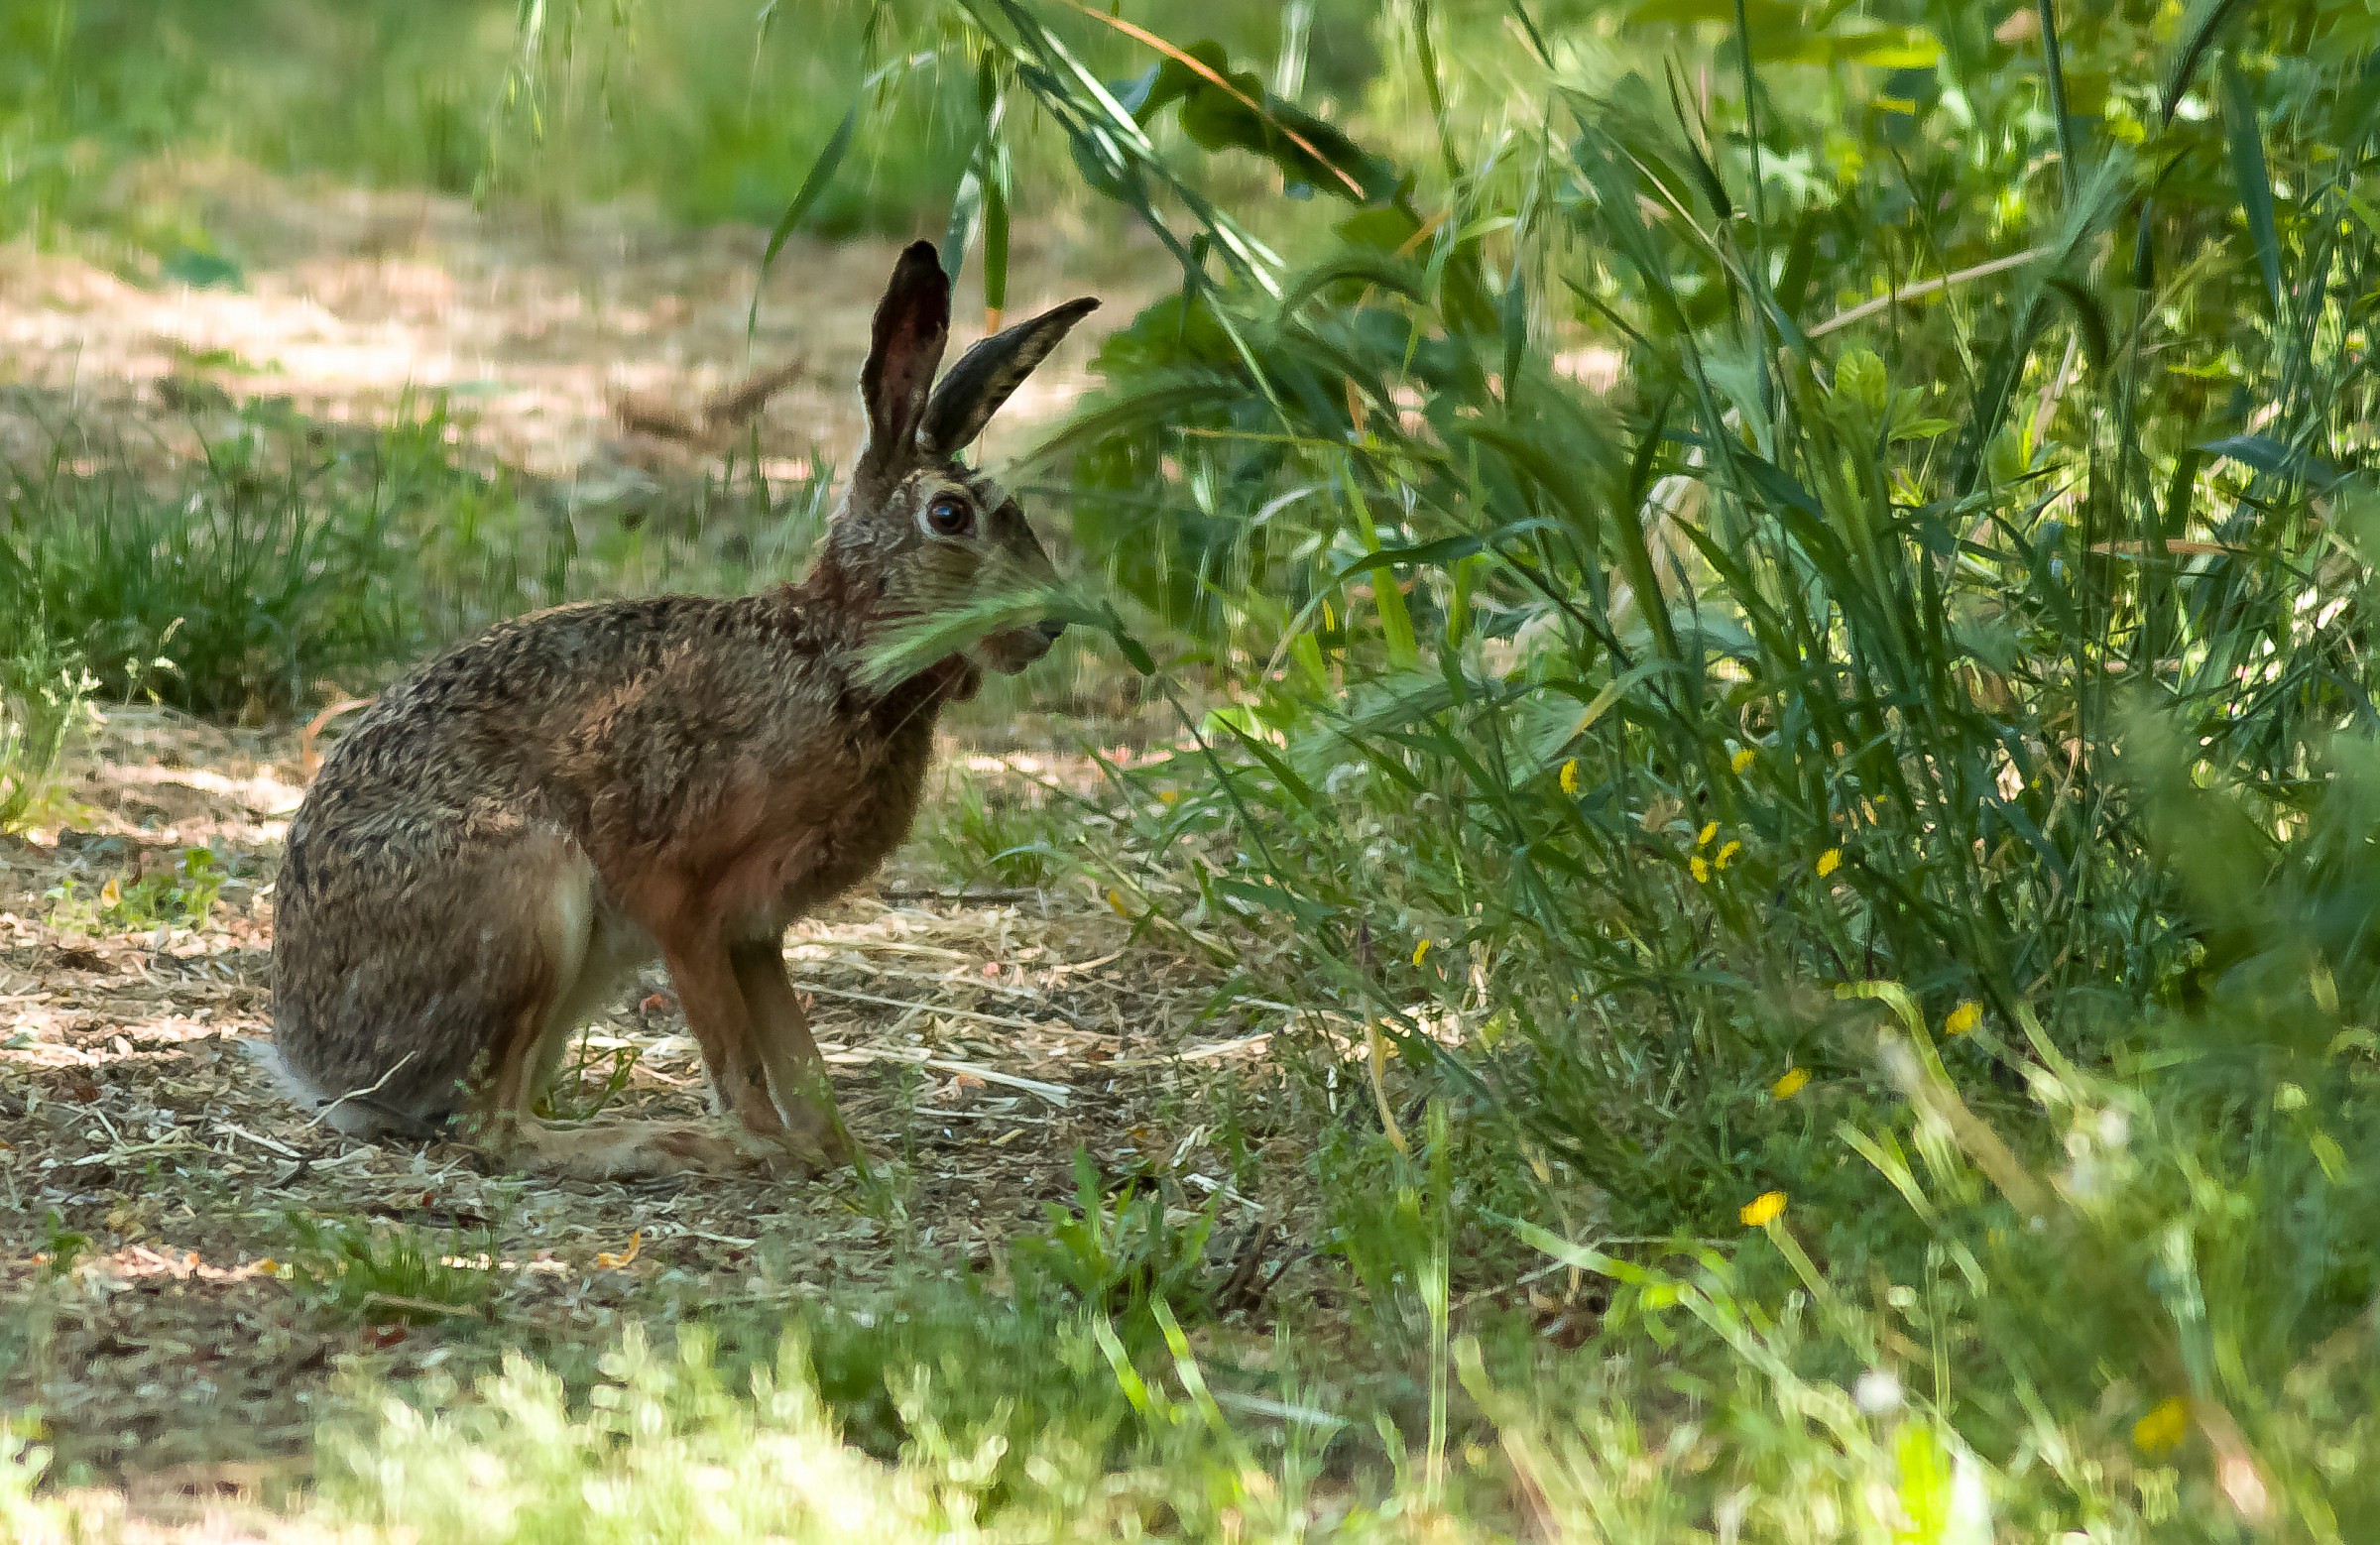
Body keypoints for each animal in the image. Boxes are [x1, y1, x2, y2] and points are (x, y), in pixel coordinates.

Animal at [267, 241, 1096, 1179]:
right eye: (949, 515)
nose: (1050, 623)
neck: (836, 655)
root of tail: (313, 1065)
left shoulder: (755, 928)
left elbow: (796, 1054)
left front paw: (843, 1153)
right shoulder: (683, 900)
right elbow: (736, 1056)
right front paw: (764, 1148)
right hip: (532, 900)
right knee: (496, 1129)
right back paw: (664, 1142)